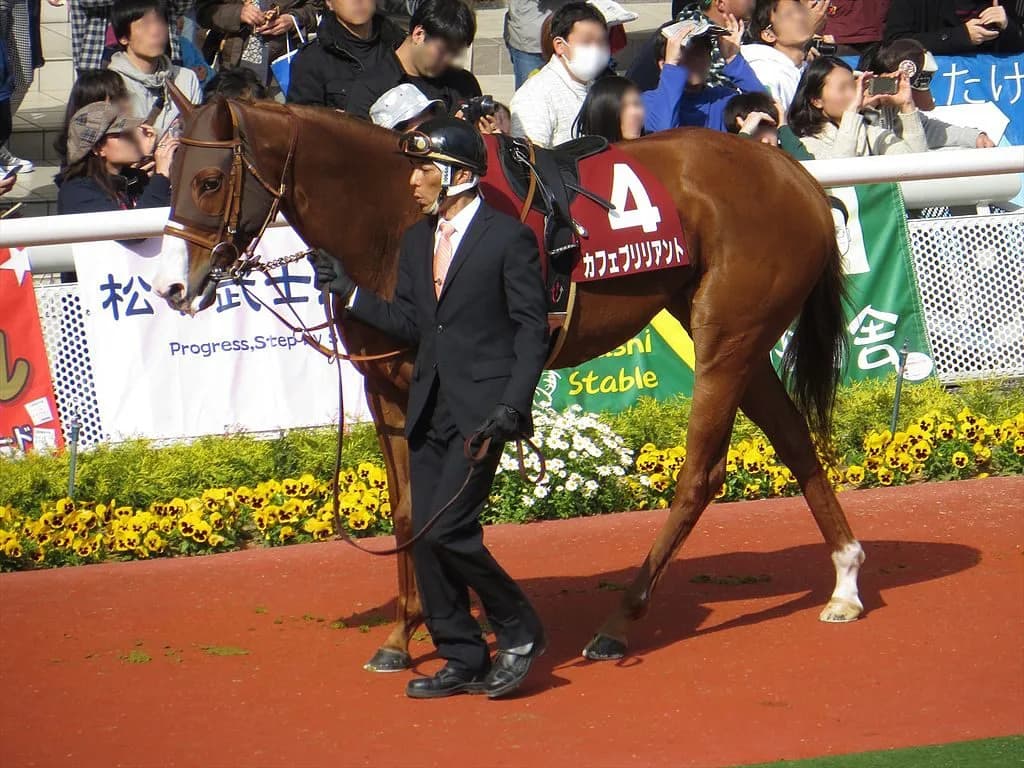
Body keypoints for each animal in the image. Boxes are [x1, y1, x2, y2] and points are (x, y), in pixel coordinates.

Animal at [157, 92, 866, 669]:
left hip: (727, 338)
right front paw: (404, 635)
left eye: (211, 180)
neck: (395, 215)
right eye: (171, 177)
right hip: (739, 337)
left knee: (701, 474)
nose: (171, 288)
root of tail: (796, 176)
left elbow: (446, 503)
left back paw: (617, 623)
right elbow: (407, 507)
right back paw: (846, 580)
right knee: (795, 441)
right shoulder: (387, 387)